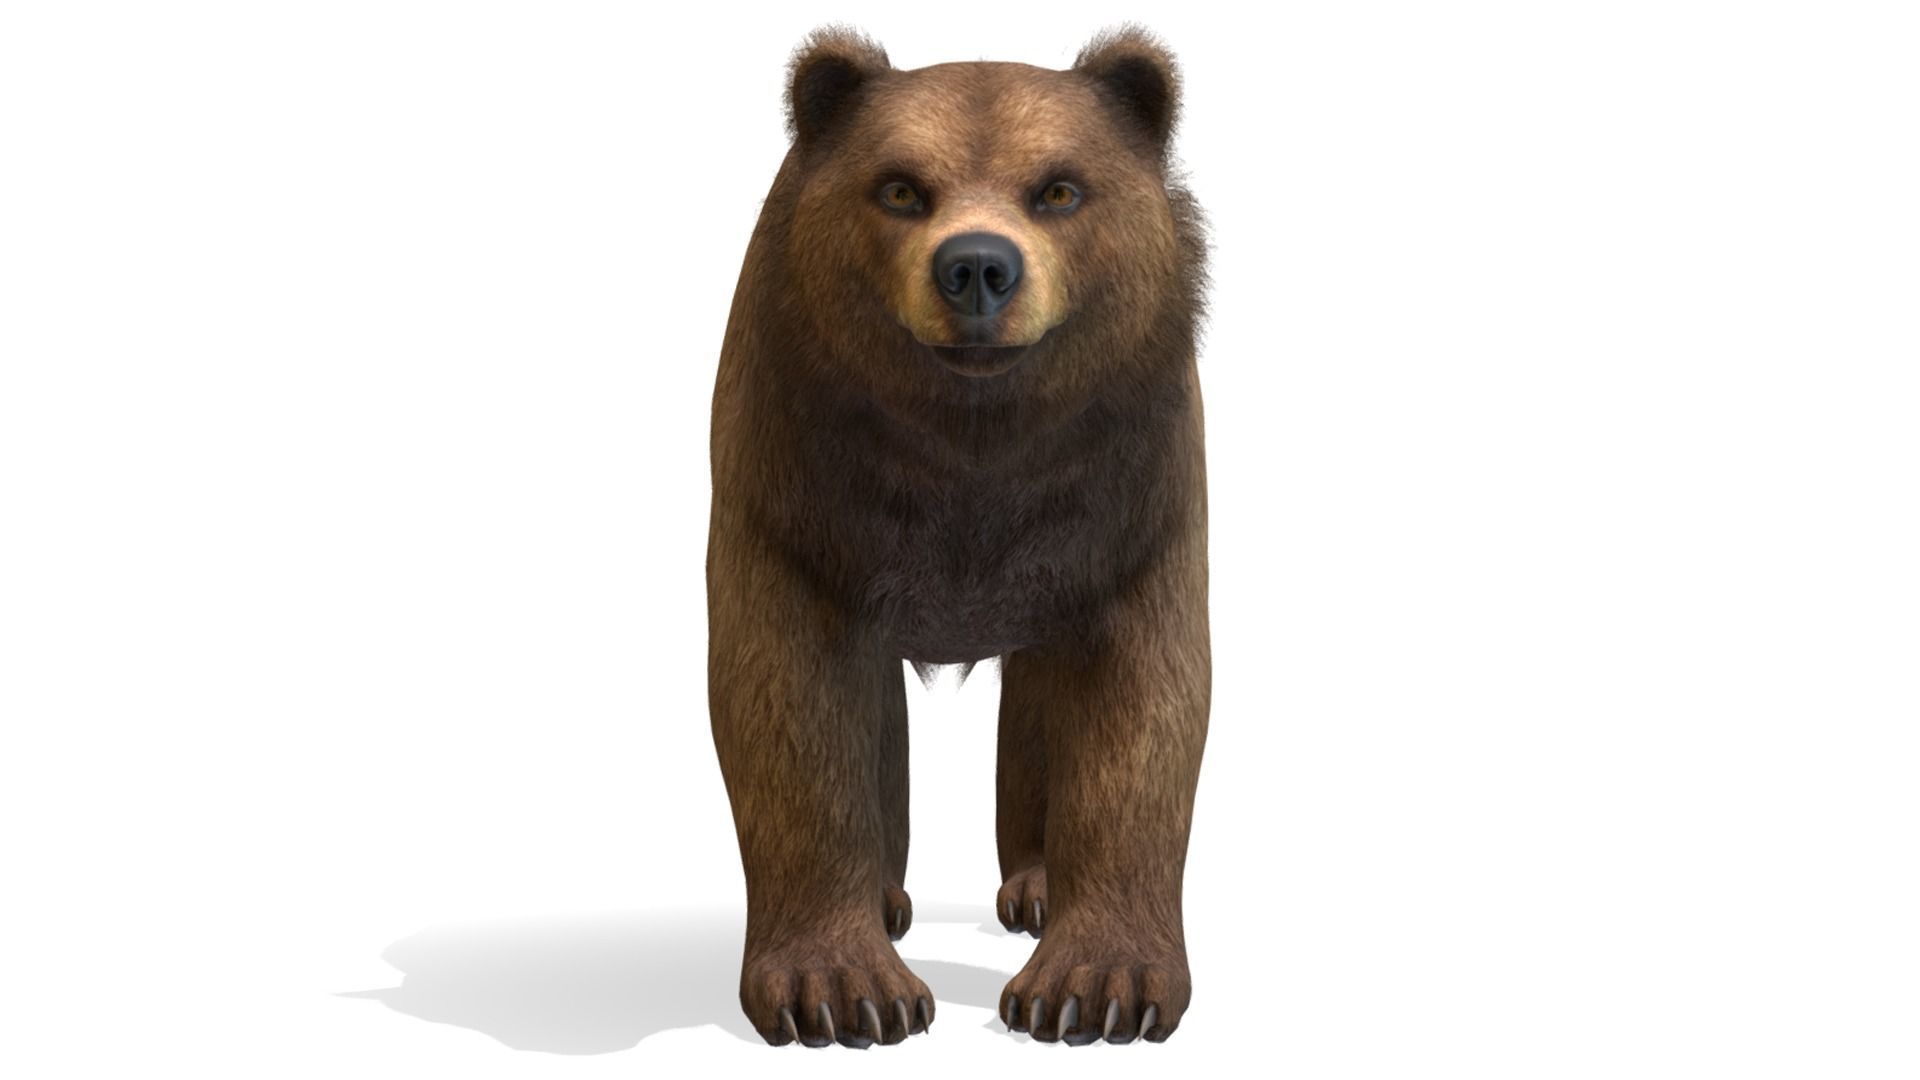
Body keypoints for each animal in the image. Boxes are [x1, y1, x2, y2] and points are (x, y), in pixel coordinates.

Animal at [706, 23, 1211, 1048]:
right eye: (901, 187)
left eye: (1059, 188)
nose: (977, 267)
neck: (973, 446)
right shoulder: (796, 495)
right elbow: (791, 711)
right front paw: (843, 990)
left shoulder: (1126, 503)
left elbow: (1141, 711)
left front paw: (1096, 989)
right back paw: (886, 900)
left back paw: (1034, 890)